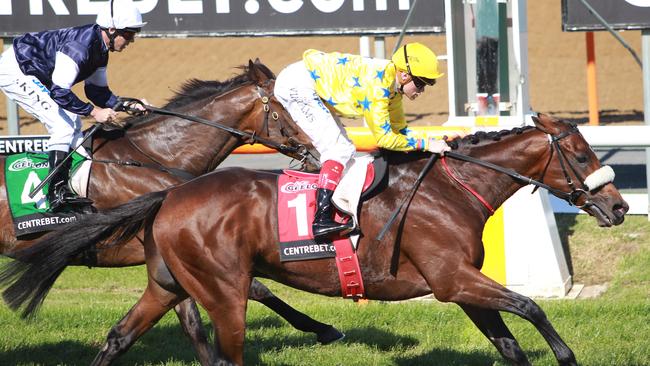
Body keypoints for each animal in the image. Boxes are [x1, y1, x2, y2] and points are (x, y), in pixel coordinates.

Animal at [0, 60, 344, 364]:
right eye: (291, 106)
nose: (320, 152)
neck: (156, 157)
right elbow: (252, 289)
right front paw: (323, 328)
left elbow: (191, 317)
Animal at [1, 113, 628, 364]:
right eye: (579, 155)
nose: (620, 206)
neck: (451, 191)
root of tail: (170, 195)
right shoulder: (453, 280)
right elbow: (530, 306)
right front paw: (568, 355)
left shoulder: (460, 286)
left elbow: (510, 340)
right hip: (222, 290)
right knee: (226, 348)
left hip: (168, 284)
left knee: (117, 339)